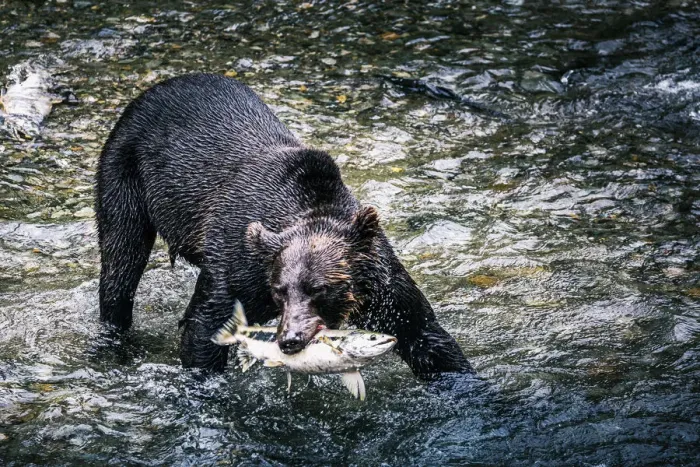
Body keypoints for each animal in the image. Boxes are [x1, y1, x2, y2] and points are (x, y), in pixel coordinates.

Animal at [95, 73, 472, 379]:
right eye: (280, 290)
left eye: (320, 288)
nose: (290, 339)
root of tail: (158, 86)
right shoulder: (240, 265)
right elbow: (205, 327)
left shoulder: (381, 285)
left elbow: (424, 335)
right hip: (125, 171)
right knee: (121, 259)